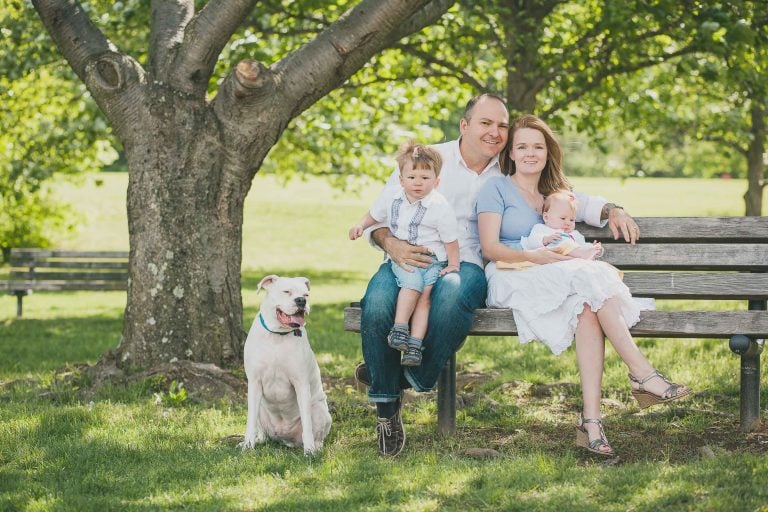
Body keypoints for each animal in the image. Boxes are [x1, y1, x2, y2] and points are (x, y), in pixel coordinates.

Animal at [240, 274, 330, 454]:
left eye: (306, 294)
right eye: (286, 291)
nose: (301, 300)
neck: (278, 335)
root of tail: (283, 438)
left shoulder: (301, 383)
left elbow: (307, 424)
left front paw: (309, 451)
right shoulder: (254, 383)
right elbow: (250, 422)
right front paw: (247, 446)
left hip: (320, 409)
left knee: (317, 434)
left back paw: (315, 447)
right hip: (261, 407)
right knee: (262, 431)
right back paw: (258, 440)